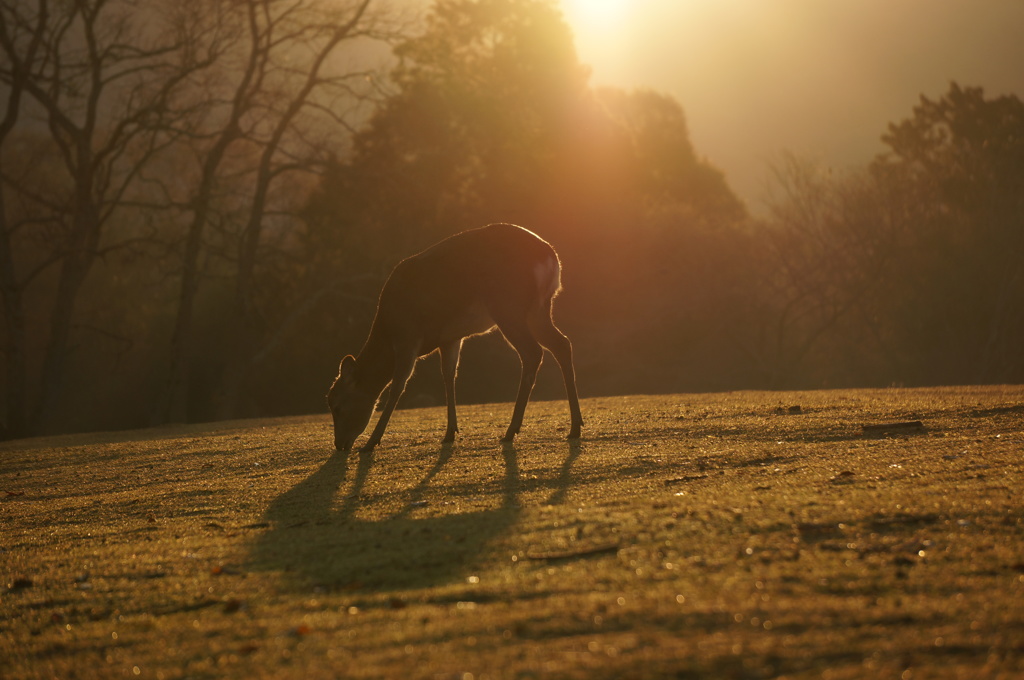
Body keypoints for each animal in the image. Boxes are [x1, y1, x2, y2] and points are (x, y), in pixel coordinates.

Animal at [327, 223, 585, 454]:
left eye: (336, 405)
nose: (339, 444)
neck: (387, 329)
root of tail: (550, 258)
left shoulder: (408, 336)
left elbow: (398, 386)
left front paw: (371, 443)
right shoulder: (449, 339)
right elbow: (449, 375)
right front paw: (450, 432)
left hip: (508, 306)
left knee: (533, 352)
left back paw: (511, 430)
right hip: (539, 309)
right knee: (562, 343)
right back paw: (575, 426)